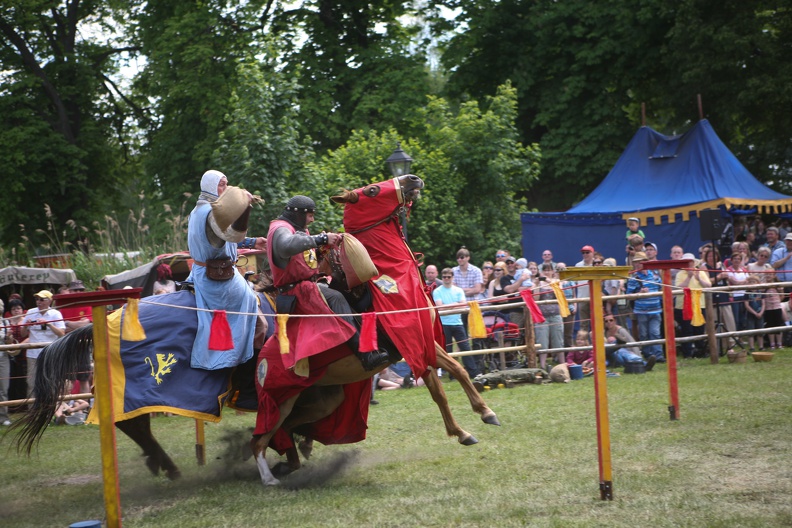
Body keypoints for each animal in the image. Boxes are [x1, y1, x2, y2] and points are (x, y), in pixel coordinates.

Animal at [251, 174, 498, 486]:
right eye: (371, 190)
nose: (413, 179)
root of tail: (260, 361)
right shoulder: (413, 344)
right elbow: (442, 387)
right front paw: (463, 431)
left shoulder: (425, 343)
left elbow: (457, 371)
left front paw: (485, 413)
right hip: (280, 401)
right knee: (260, 440)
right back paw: (269, 478)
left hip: (325, 400)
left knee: (288, 429)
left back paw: (296, 457)